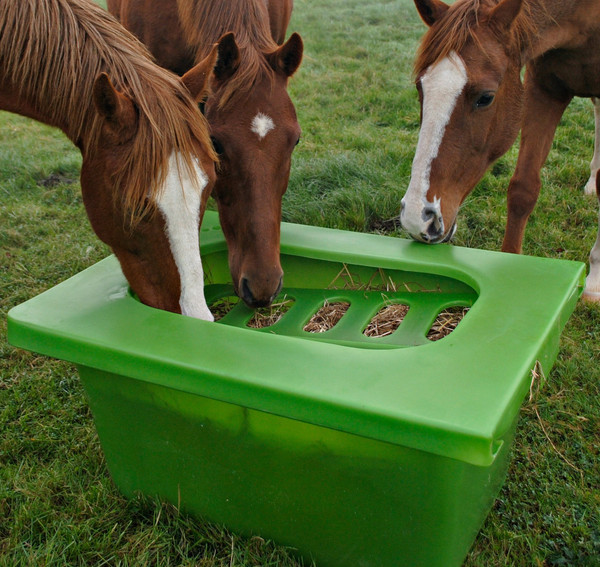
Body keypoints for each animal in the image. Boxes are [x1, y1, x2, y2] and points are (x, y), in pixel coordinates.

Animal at [400, 0, 600, 302]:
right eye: (420, 87)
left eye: (486, 97)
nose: (418, 218)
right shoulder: (544, 89)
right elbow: (523, 189)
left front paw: (594, 282)